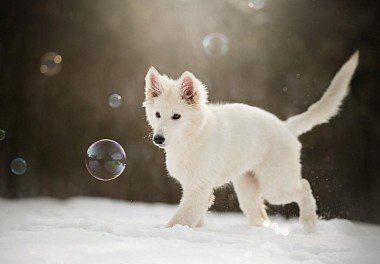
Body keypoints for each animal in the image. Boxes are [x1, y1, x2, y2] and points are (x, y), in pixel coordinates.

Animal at [143, 51, 360, 231]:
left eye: (176, 116)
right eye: (157, 114)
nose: (158, 139)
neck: (193, 137)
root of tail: (285, 126)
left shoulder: (198, 189)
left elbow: (180, 219)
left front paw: (167, 233)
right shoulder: (196, 189)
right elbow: (194, 218)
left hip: (275, 184)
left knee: (304, 186)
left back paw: (309, 223)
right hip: (247, 186)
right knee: (260, 214)